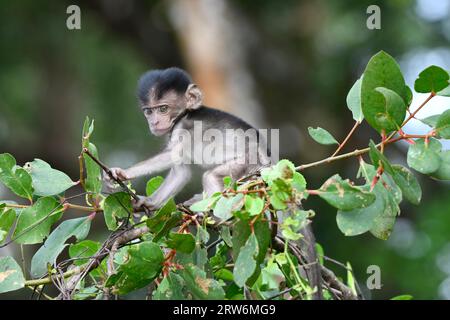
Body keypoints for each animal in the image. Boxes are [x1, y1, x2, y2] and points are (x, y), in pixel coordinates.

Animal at [103, 67, 270, 210]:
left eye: (163, 109)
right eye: (149, 111)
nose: (154, 122)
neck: (183, 114)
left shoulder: (183, 128)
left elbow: (172, 155)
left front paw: (123, 172)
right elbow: (180, 172)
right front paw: (149, 201)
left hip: (246, 164)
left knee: (210, 176)